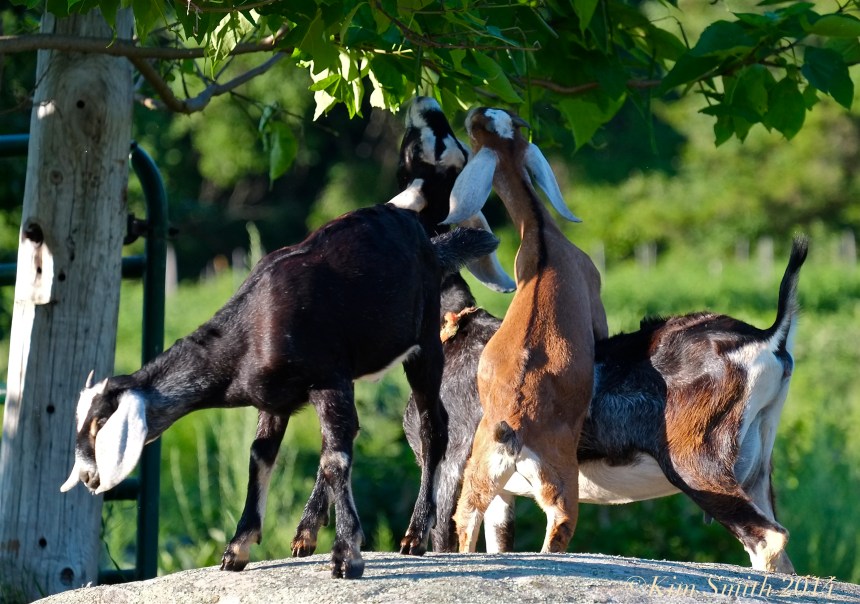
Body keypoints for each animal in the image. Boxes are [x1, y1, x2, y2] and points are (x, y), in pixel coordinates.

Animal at [60, 202, 500, 579]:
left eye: (99, 425)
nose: (87, 477)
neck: (246, 335)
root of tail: (428, 242)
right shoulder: (275, 401)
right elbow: (261, 458)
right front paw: (237, 548)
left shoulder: (327, 379)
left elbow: (335, 461)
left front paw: (347, 556)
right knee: (347, 433)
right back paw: (306, 532)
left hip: (422, 345)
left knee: (431, 427)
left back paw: (414, 534)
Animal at [213, 97, 516, 570]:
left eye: (444, 143)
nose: (426, 100)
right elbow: (335, 448)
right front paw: (308, 533)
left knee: (446, 503)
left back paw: (411, 537)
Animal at [444, 107, 609, 554]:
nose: (470, 112)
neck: (541, 235)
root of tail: (513, 429)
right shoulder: (596, 300)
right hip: (560, 477)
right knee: (560, 524)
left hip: (479, 475)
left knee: (466, 520)